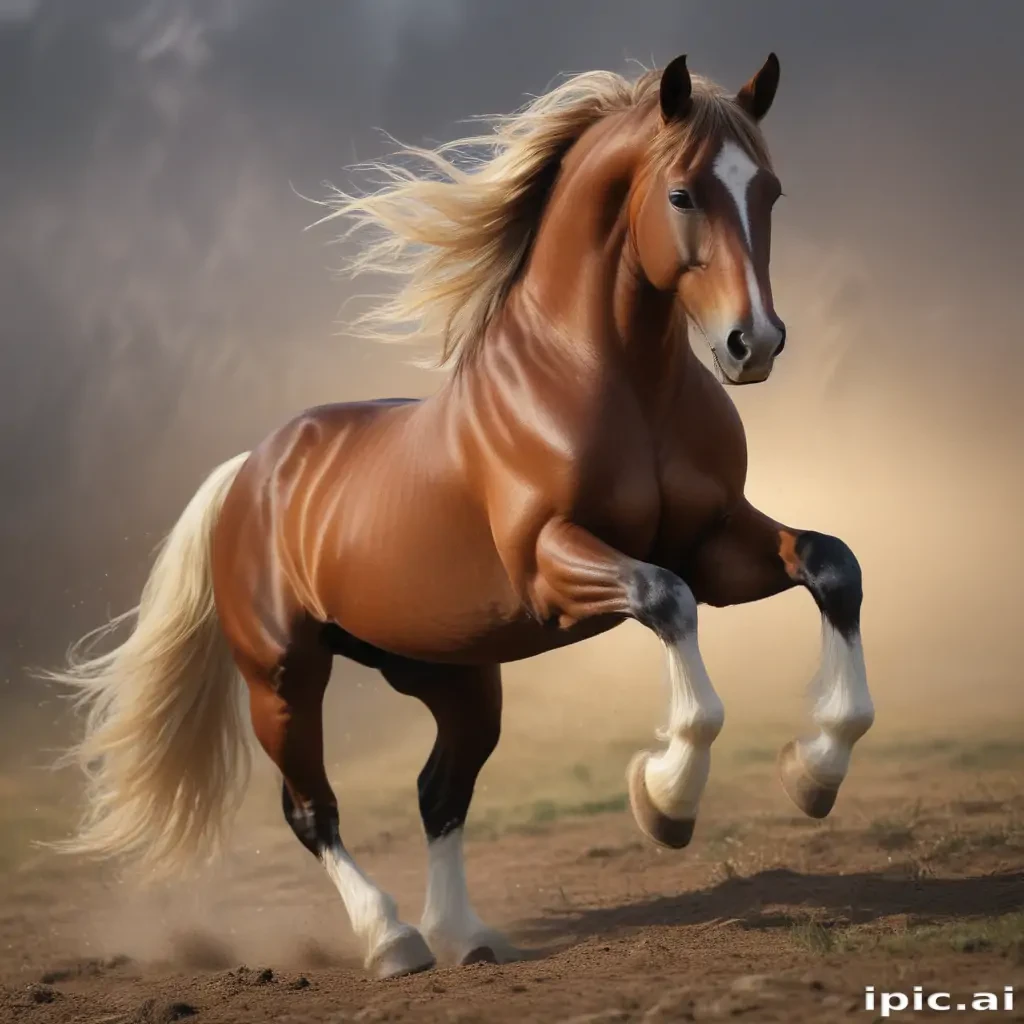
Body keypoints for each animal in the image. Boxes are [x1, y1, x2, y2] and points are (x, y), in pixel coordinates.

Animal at [50, 53, 874, 979]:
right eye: (683, 194)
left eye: (769, 190)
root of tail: (250, 472)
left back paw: (465, 936)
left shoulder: (716, 542)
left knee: (438, 791)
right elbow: (669, 606)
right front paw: (664, 800)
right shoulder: (557, 562)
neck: (617, 384)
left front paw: (813, 772)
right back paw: (392, 941)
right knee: (313, 810)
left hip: (455, 676)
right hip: (284, 679)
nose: (752, 344)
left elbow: (832, 565)